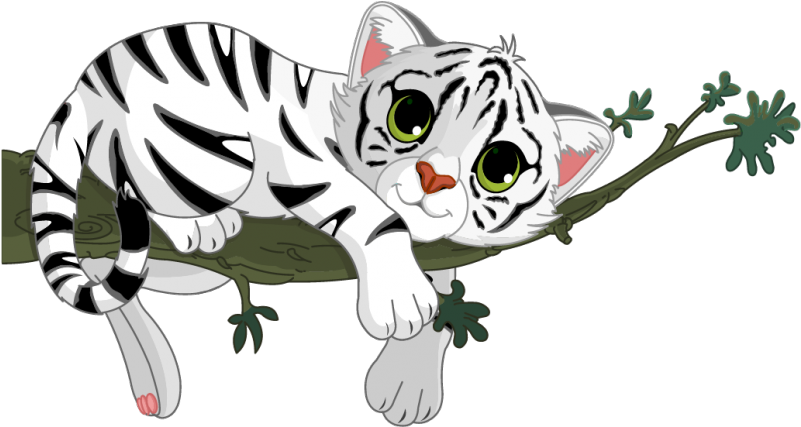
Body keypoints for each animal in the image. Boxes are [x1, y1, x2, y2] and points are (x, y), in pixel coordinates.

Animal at [30, 2, 613, 425]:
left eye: (499, 167)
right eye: (410, 117)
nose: (434, 178)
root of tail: (91, 77)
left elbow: (446, 290)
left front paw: (408, 384)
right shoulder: (302, 159)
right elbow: (376, 217)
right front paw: (401, 304)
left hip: (191, 272)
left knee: (111, 276)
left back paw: (156, 380)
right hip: (207, 155)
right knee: (136, 184)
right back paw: (200, 225)